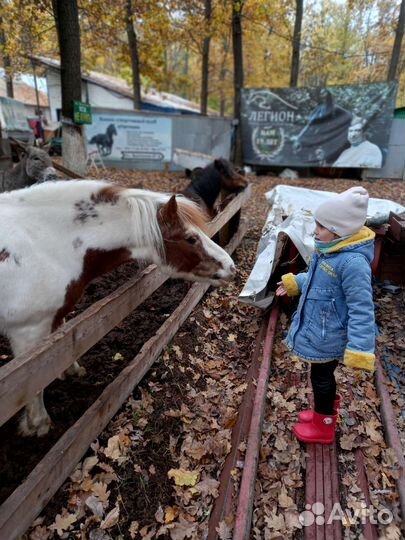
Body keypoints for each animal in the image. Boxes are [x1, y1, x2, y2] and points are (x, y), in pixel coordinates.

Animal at [0, 179, 234, 436]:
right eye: (191, 238)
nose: (231, 267)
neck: (44, 244)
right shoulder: (27, 331)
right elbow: (34, 383)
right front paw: (37, 425)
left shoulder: (55, 316)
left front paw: (70, 371)